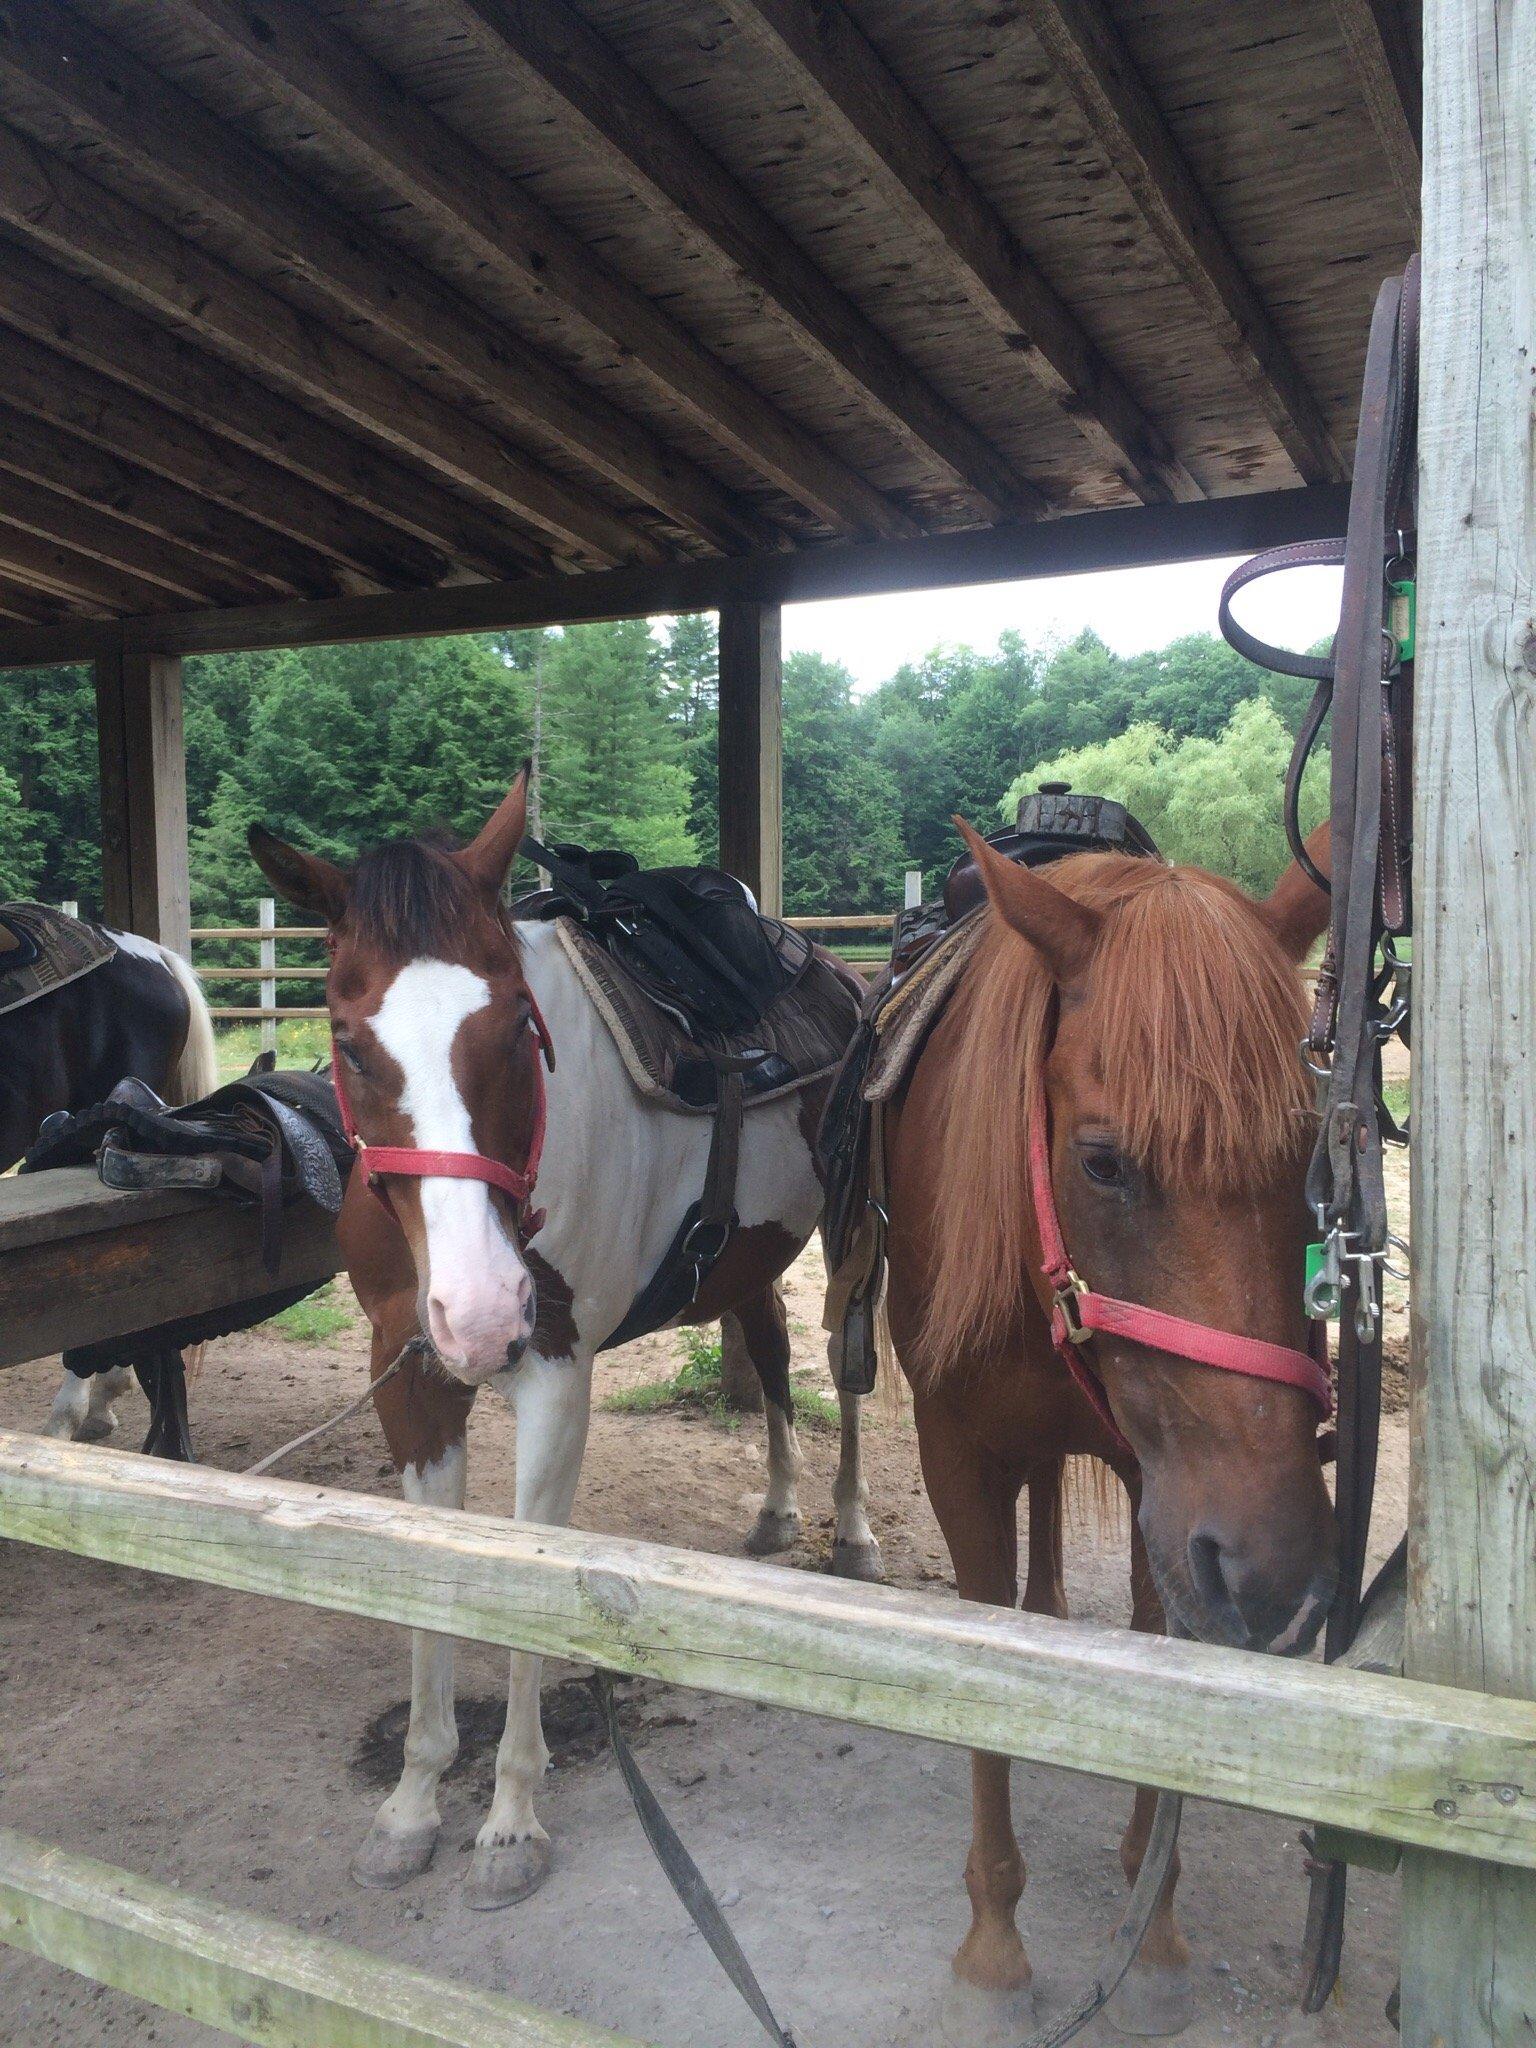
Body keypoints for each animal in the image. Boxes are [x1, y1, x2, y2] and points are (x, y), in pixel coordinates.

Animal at [248, 768, 883, 1909]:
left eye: (515, 1028)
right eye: (350, 1042)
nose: (483, 1312)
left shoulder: (554, 1377)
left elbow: (527, 1585)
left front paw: (510, 1820)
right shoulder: (406, 1377)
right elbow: (436, 1576)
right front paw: (413, 1802)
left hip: (851, 1236)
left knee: (846, 1377)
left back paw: (849, 1528)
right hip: (751, 1253)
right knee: (770, 1354)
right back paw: (775, 1510)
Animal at [882, 819, 1338, 2043]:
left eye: (1315, 1153)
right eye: (1102, 1161)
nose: (1278, 1570)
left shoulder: (1167, 1498)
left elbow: (1153, 1650)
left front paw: (1157, 1920)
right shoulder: (958, 1455)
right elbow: (987, 1645)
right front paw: (994, 1945)